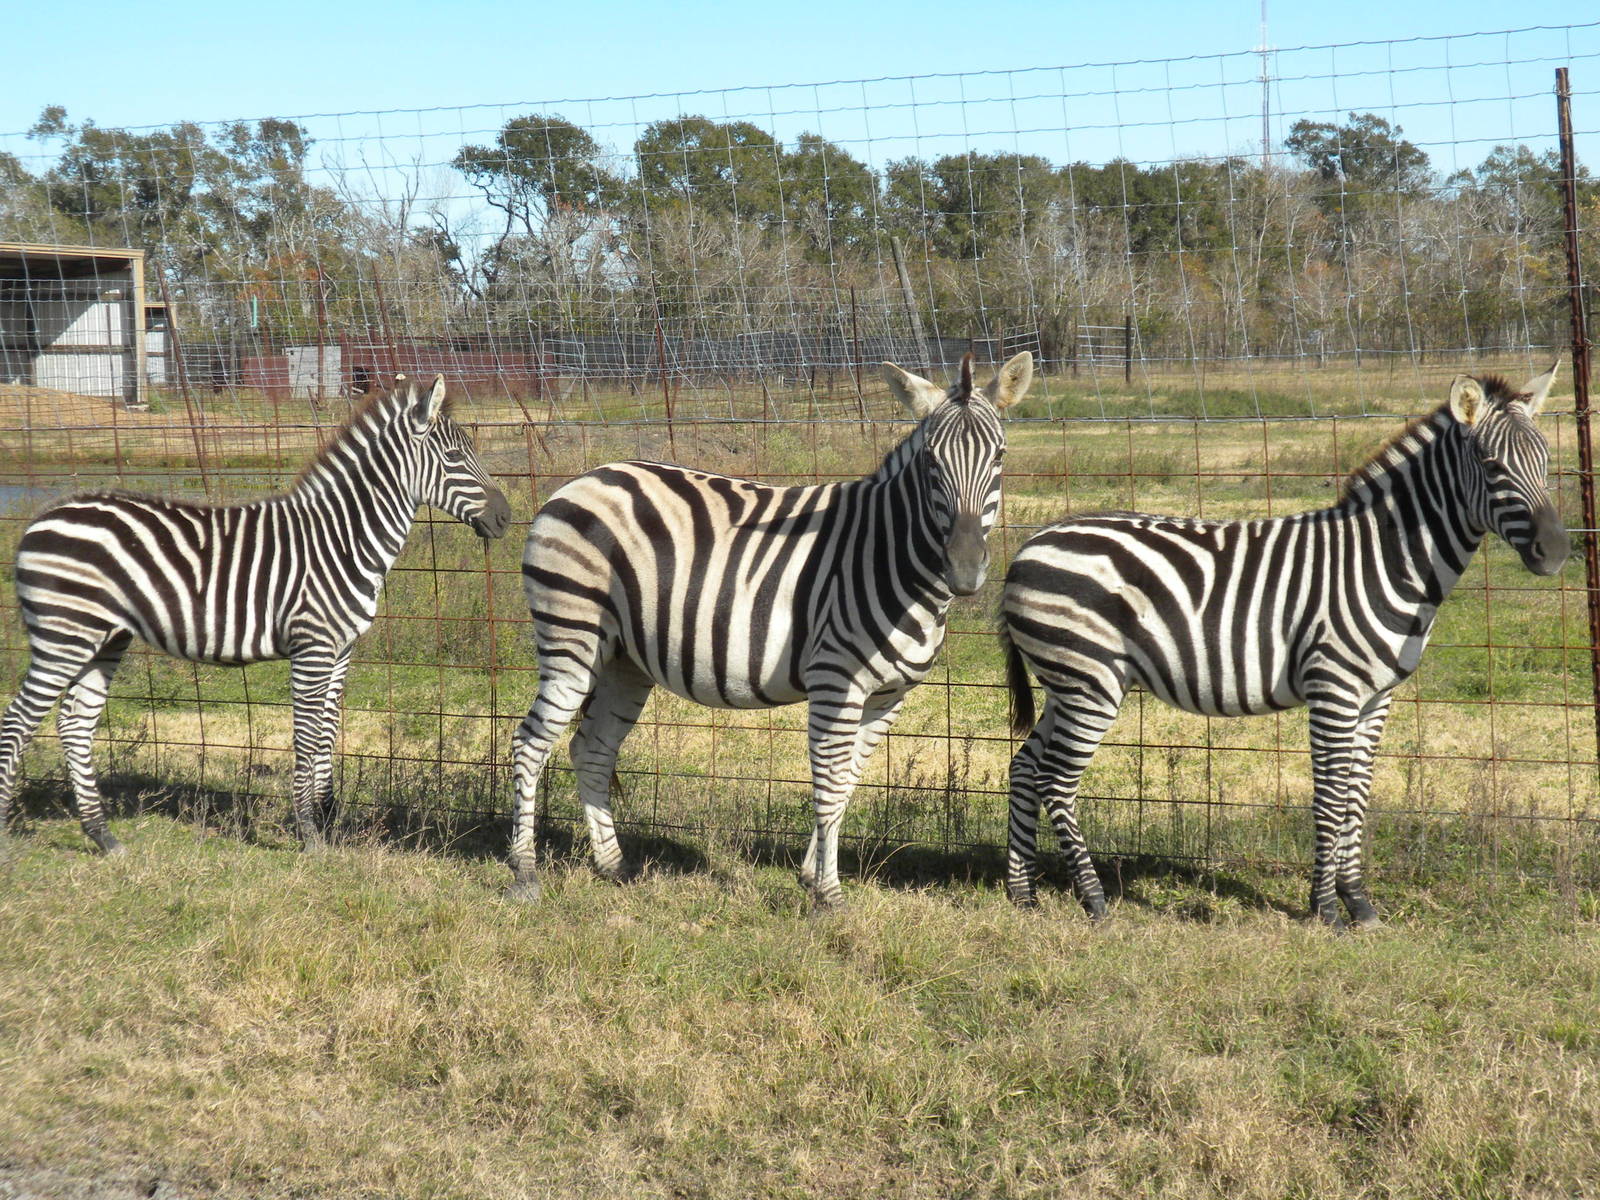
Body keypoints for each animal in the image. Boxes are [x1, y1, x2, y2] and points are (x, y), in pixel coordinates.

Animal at [0, 374, 512, 854]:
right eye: (454, 458)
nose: (505, 518)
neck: (343, 539)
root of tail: (42, 515)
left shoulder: (341, 649)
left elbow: (328, 735)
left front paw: (329, 824)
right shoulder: (312, 646)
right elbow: (307, 737)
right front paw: (309, 834)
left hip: (104, 636)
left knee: (74, 723)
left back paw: (103, 836)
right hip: (65, 633)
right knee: (19, 720)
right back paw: (11, 831)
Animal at [509, 352, 1033, 908]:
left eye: (1000, 456)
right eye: (932, 464)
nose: (964, 571)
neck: (889, 555)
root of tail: (582, 479)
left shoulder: (889, 696)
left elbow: (848, 781)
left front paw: (811, 877)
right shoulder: (835, 682)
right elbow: (829, 784)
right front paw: (828, 896)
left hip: (624, 661)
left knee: (591, 748)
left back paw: (613, 865)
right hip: (572, 637)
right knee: (530, 744)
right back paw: (525, 873)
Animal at [1000, 366, 1568, 927]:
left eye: (1546, 460)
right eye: (1492, 465)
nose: (1557, 552)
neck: (1388, 561)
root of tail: (1028, 546)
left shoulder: (1376, 697)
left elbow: (1357, 797)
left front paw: (1358, 903)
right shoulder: (1334, 688)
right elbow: (1330, 798)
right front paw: (1325, 910)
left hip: (1068, 683)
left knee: (1025, 767)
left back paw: (1022, 895)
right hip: (1090, 680)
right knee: (1055, 779)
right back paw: (1093, 900)